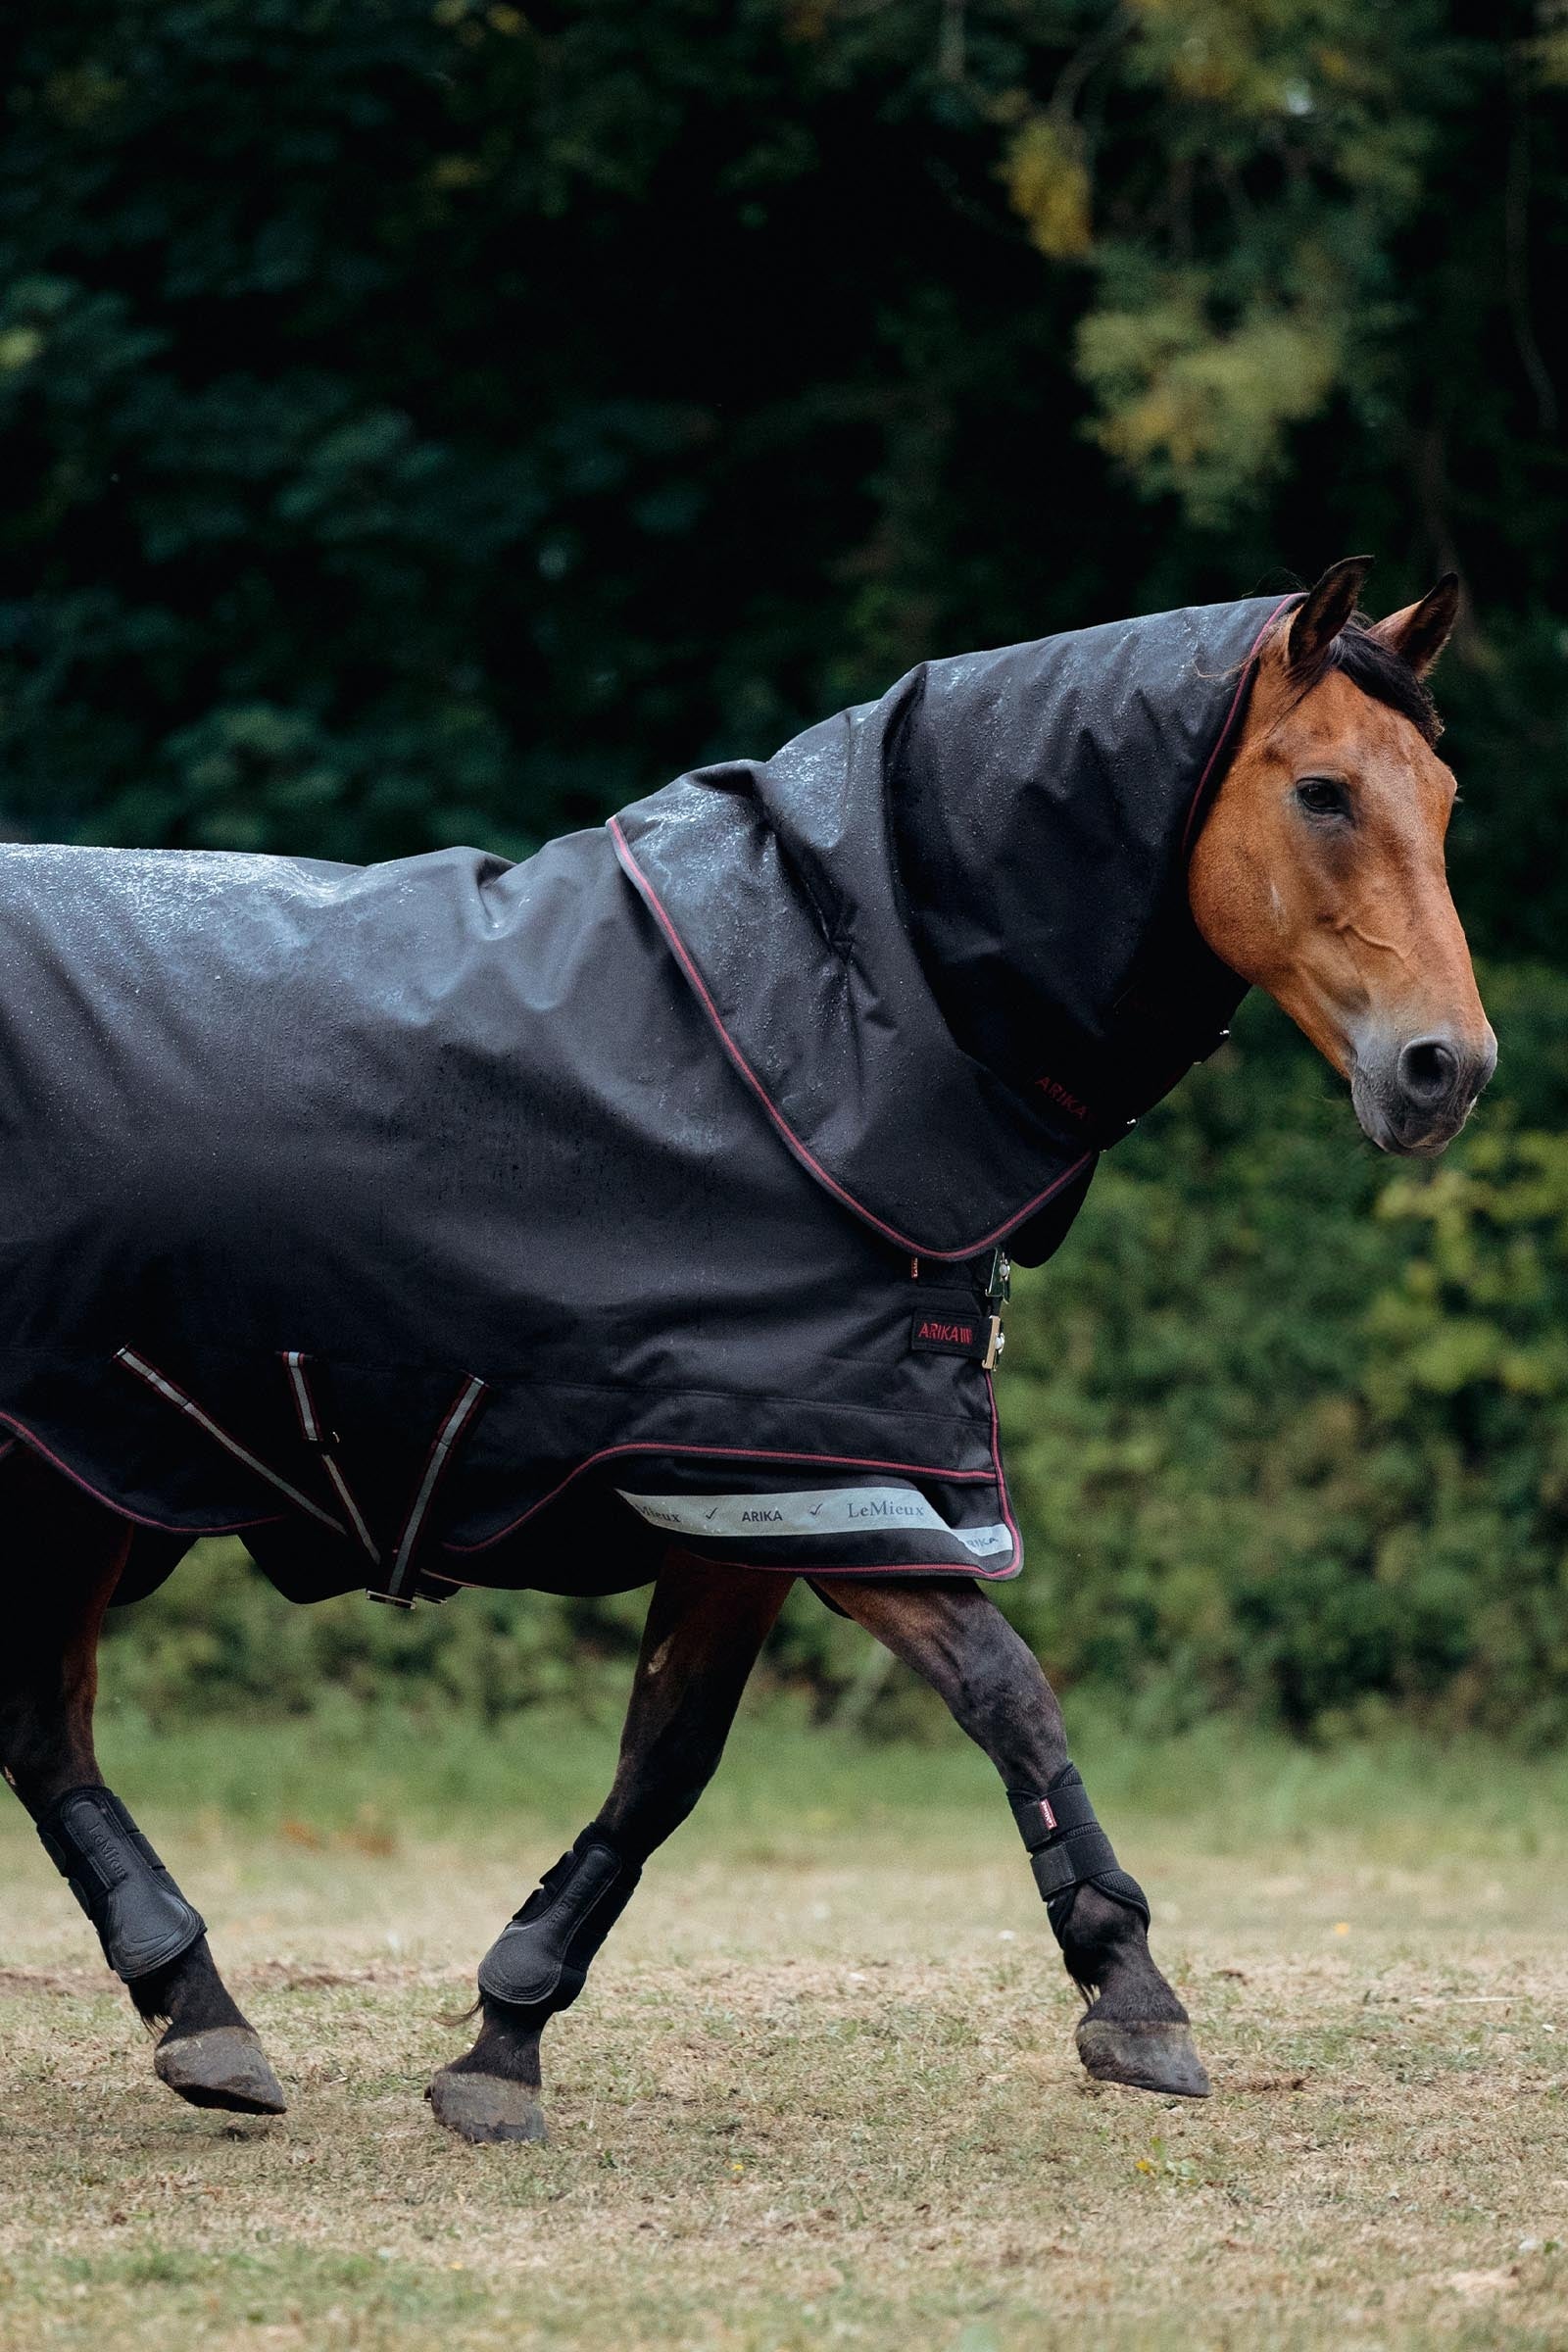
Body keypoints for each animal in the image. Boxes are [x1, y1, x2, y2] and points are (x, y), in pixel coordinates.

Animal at [0, 557, 1494, 2141]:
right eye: (1323, 791)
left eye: (1443, 796)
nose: (1445, 1068)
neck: (828, 1037)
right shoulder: (794, 1481)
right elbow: (998, 1692)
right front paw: (1131, 1988)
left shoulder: (766, 1494)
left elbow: (676, 1763)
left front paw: (505, 2032)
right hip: (66, 1475)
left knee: (41, 1728)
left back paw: (198, 2013)